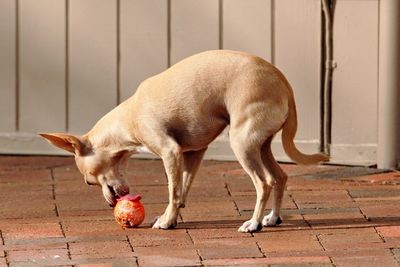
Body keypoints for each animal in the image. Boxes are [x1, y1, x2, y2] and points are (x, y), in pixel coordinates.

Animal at [39, 49, 328, 232]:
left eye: (89, 182)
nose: (110, 204)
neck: (129, 118)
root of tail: (283, 82)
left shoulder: (170, 152)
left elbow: (172, 189)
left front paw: (166, 221)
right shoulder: (193, 153)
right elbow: (182, 190)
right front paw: (174, 216)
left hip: (242, 144)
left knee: (264, 183)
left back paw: (254, 223)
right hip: (261, 145)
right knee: (280, 177)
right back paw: (273, 217)